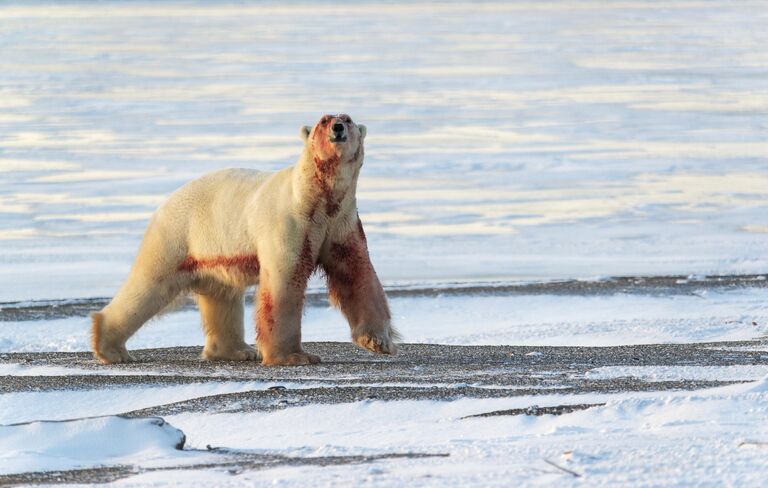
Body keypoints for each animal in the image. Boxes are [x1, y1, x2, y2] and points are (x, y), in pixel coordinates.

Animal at [93, 115, 400, 366]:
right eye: (324, 120)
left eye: (347, 119)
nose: (337, 128)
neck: (316, 198)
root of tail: (165, 203)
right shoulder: (290, 222)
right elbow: (284, 283)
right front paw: (294, 356)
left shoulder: (341, 222)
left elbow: (356, 272)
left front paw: (379, 341)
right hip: (178, 235)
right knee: (149, 284)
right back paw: (111, 349)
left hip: (215, 252)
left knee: (222, 296)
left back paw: (237, 351)